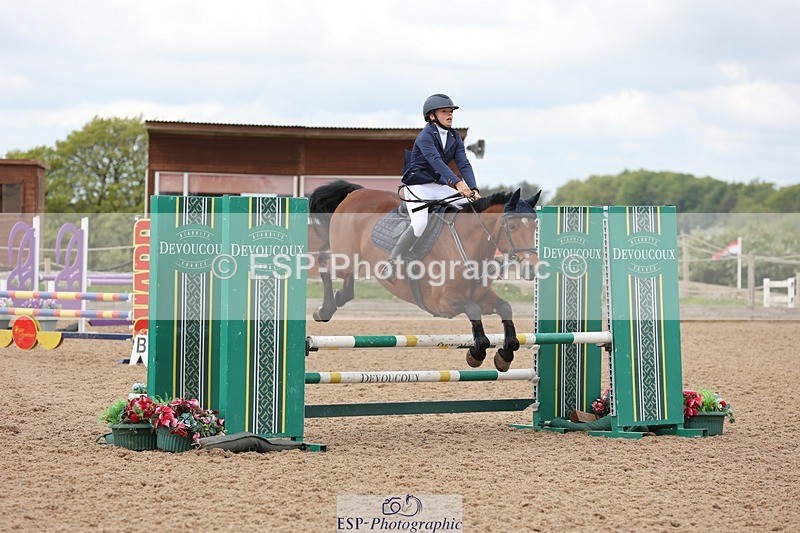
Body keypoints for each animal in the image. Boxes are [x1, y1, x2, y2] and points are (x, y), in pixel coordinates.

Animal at [308, 180, 540, 371]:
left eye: (534, 226)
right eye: (512, 226)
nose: (532, 269)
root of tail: (355, 193)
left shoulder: (482, 296)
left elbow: (505, 308)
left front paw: (504, 355)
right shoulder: (442, 302)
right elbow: (473, 312)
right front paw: (476, 353)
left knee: (345, 282)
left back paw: (339, 297)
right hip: (345, 257)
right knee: (325, 263)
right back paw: (324, 309)